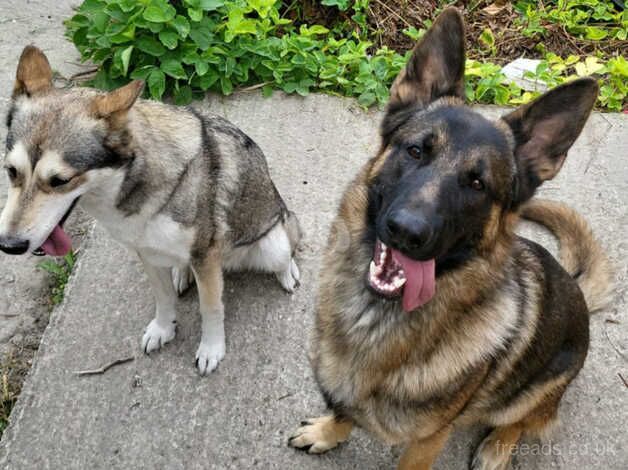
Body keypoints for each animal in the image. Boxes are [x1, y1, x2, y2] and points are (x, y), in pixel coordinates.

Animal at [0, 45, 302, 374]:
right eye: (11, 171)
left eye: (60, 181)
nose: (10, 245)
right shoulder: (147, 252)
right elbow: (163, 298)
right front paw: (163, 329)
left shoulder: (205, 257)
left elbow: (210, 308)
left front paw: (211, 349)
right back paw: (182, 273)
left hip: (272, 245)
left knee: (284, 255)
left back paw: (288, 274)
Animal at [288, 7, 612, 470]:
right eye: (416, 151)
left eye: (477, 184)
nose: (407, 232)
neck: (378, 319)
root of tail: (577, 290)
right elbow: (343, 411)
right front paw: (328, 431)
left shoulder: (428, 440)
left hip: (536, 391)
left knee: (526, 419)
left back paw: (497, 446)